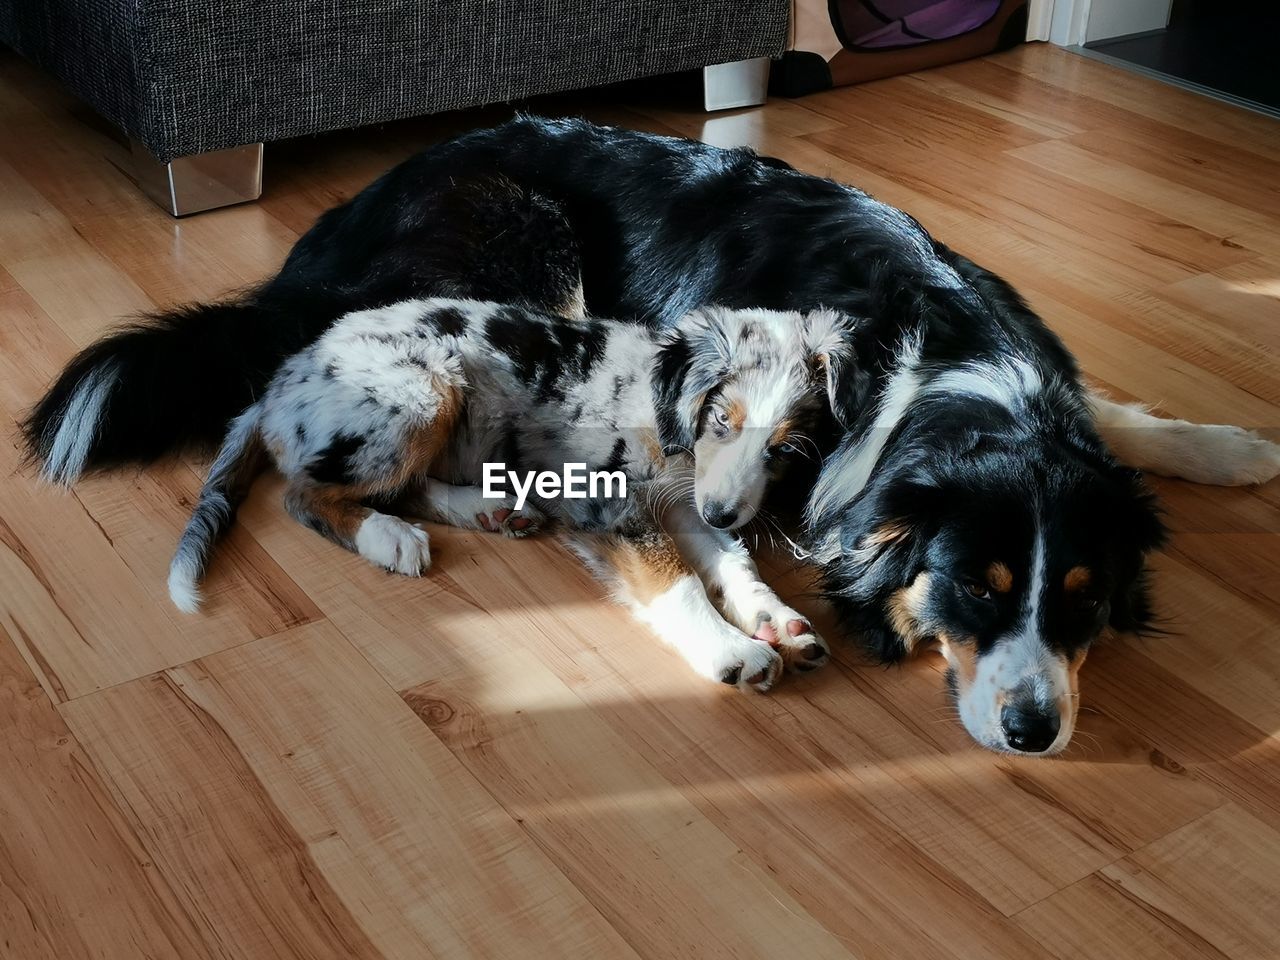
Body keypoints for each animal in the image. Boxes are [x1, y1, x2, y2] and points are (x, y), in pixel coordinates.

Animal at [24, 116, 1274, 757]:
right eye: (975, 587)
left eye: (1080, 600)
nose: (1035, 730)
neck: (939, 366)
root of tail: (333, 231)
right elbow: (678, 552)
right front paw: (732, 630)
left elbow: (1122, 417)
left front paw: (1236, 448)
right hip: (523, 260)